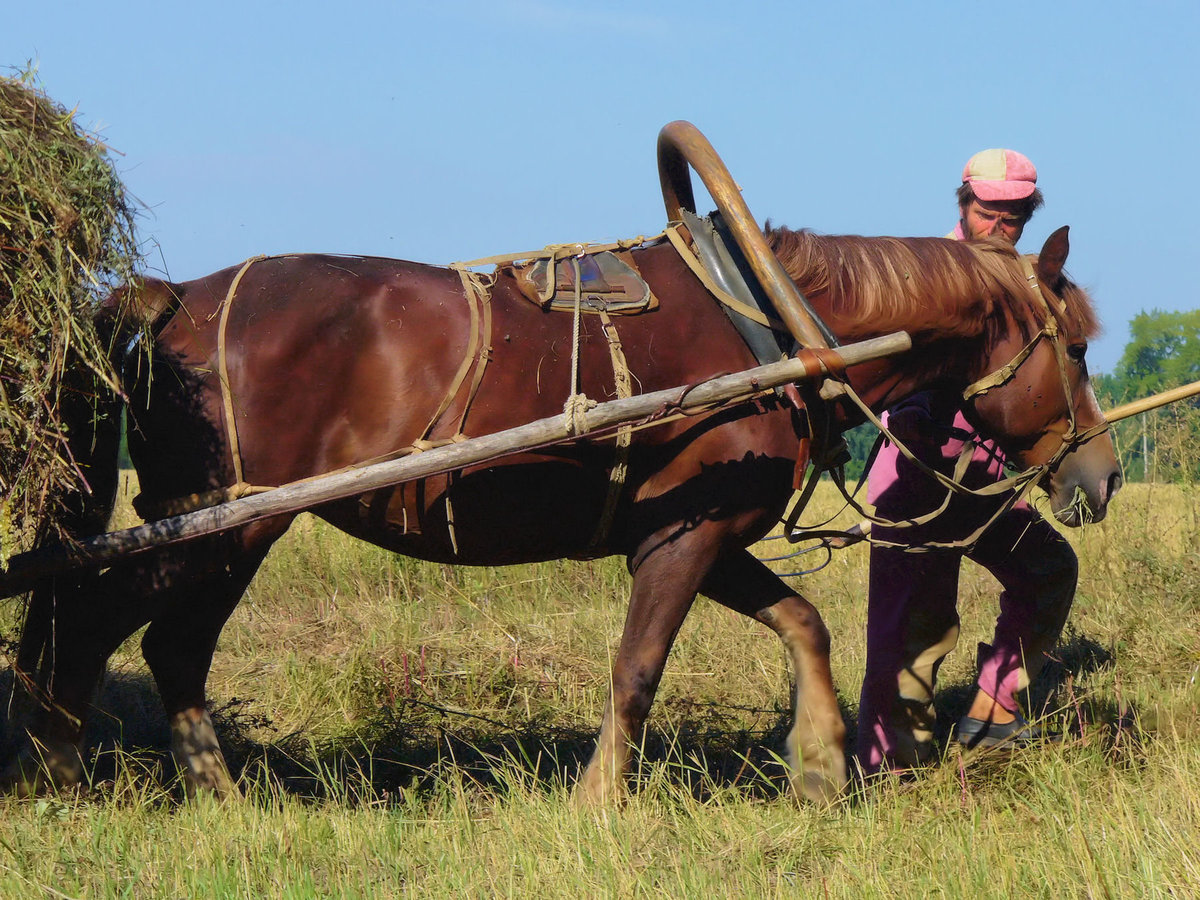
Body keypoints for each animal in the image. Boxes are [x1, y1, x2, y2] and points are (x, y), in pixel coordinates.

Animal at [4, 223, 1121, 803]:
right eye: (1074, 347)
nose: (1101, 476)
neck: (775, 325)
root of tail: (179, 295)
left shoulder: (701, 537)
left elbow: (802, 623)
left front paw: (816, 764)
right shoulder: (681, 538)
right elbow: (637, 668)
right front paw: (602, 799)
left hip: (227, 530)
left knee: (163, 645)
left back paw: (213, 791)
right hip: (219, 522)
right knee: (98, 622)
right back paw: (59, 765)